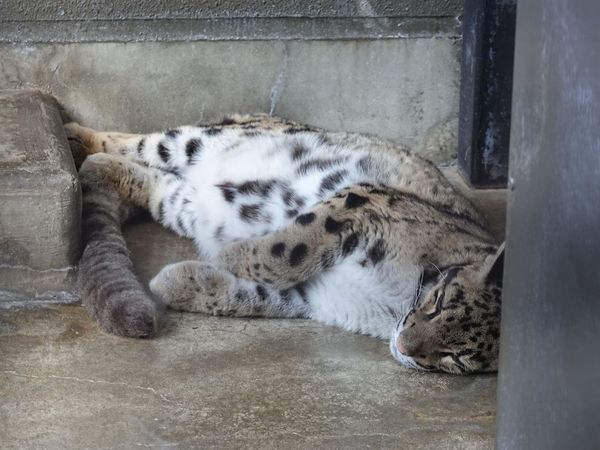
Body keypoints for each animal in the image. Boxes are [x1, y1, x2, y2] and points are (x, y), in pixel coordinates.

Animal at [65, 114, 504, 374]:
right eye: (438, 302)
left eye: (457, 358)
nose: (403, 345)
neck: (393, 305)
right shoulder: (363, 200)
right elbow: (293, 248)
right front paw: (232, 254)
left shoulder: (312, 298)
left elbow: (248, 297)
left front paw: (179, 282)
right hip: (206, 138)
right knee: (146, 140)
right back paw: (75, 136)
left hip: (185, 200)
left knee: (159, 183)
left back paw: (98, 167)